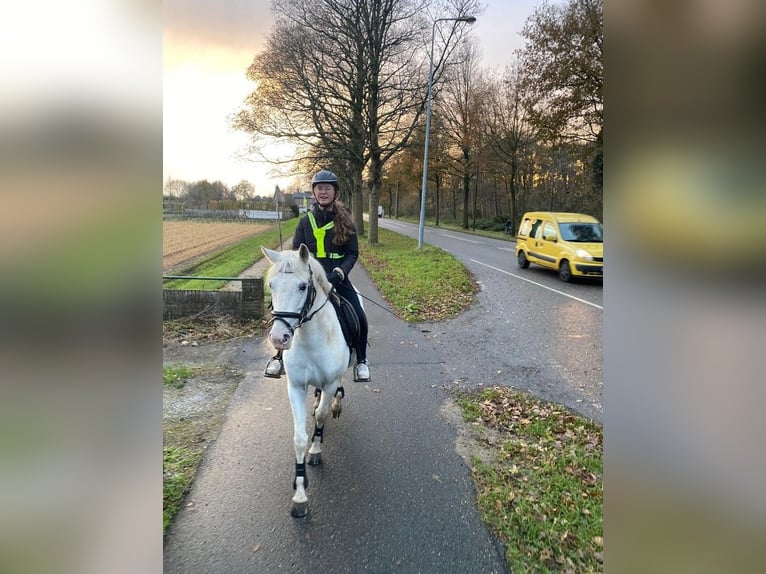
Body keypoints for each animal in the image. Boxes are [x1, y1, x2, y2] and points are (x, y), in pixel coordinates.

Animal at [260, 245, 352, 520]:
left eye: (302, 286)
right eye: (271, 285)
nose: (279, 338)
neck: (312, 338)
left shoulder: (330, 381)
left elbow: (322, 415)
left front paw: (315, 450)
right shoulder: (296, 388)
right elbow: (299, 438)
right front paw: (300, 496)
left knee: (337, 390)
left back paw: (336, 404)